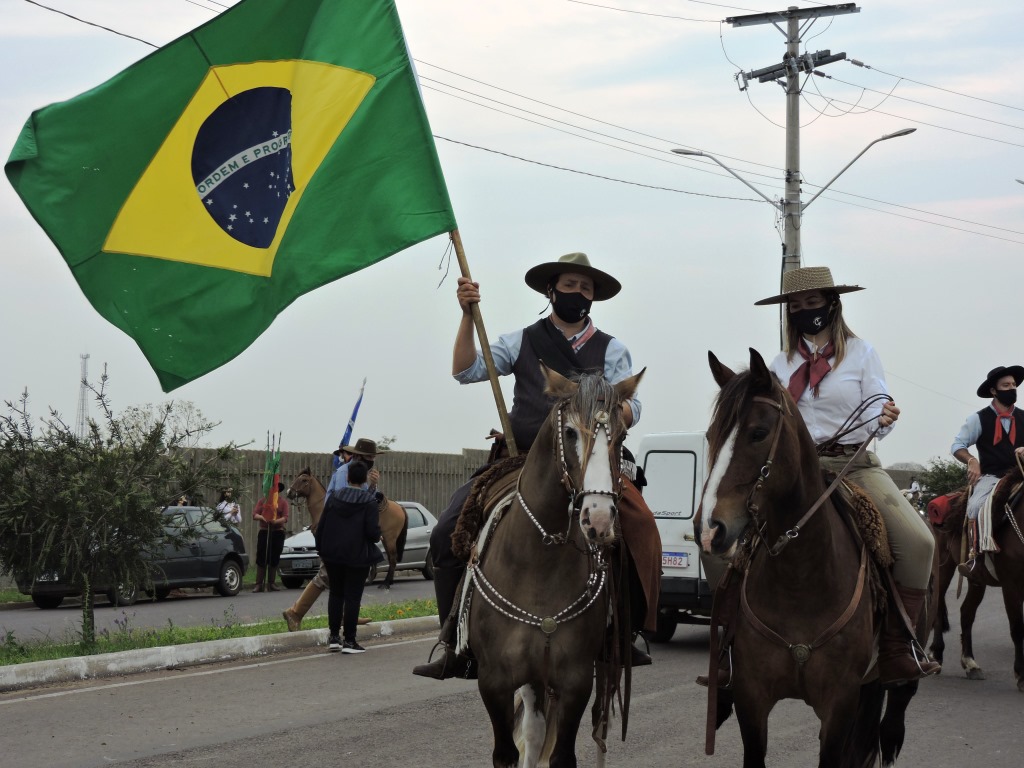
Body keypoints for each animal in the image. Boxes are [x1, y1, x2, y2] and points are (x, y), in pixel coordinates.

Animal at [464, 366, 638, 768]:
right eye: (570, 432)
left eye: (621, 434)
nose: (599, 520)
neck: (538, 565)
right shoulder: (493, 681)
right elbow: (506, 754)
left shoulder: (575, 681)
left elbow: (561, 756)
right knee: (532, 728)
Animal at [704, 352, 913, 768]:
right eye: (710, 436)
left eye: (758, 433)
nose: (712, 528)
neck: (801, 580)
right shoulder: (751, 699)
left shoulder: (840, 703)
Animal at [929, 479, 1024, 696]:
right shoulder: (1012, 585)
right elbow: (1017, 628)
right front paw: (1021, 675)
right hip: (943, 568)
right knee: (938, 606)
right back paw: (936, 654)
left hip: (976, 580)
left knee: (966, 613)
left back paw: (970, 663)